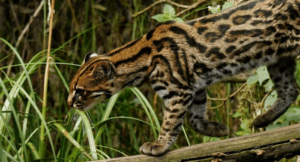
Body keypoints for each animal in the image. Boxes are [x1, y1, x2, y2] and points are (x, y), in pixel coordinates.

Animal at [68, 0, 300, 156]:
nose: (69, 103)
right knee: (290, 90)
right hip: (279, 60)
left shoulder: (178, 90)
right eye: (72, 88)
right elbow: (193, 119)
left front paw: (159, 145)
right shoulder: (195, 87)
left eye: (80, 91)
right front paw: (217, 130)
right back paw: (264, 119)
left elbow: (171, 121)